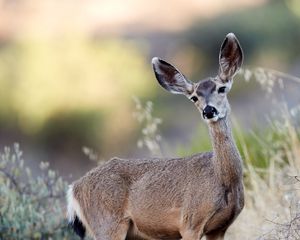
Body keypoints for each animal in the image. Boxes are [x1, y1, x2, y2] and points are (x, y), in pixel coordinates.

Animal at [67, 32, 245, 240]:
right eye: (194, 97)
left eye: (221, 88)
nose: (209, 110)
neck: (223, 178)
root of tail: (74, 189)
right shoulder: (190, 222)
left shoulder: (220, 227)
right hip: (108, 225)